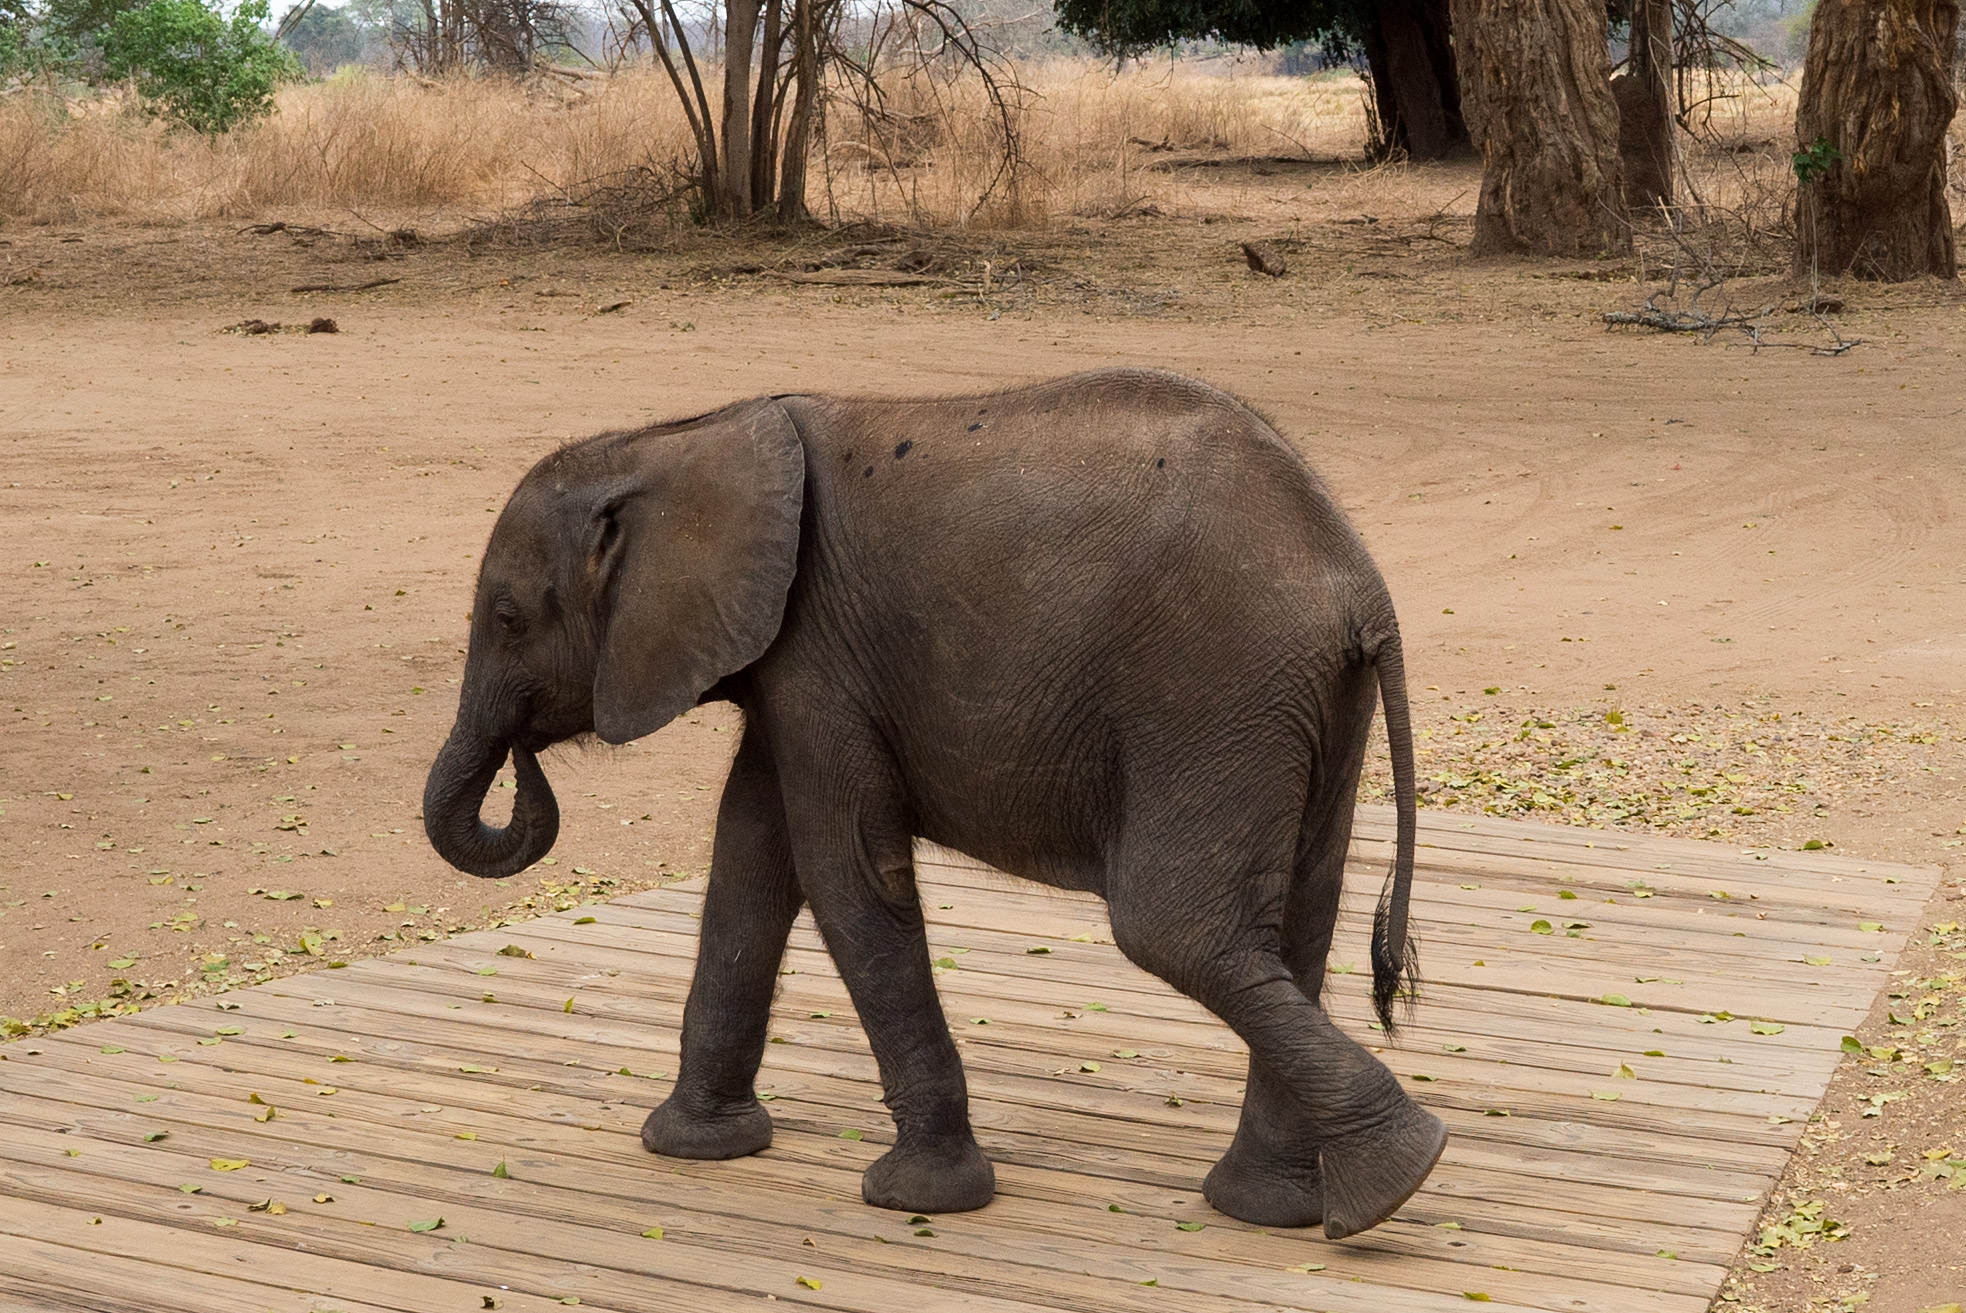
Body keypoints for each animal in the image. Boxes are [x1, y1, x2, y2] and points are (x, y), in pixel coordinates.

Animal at [426, 367, 1446, 1242]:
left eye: (509, 618)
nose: (525, 762)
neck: (674, 439)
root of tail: (1362, 588)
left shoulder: (818, 650)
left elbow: (846, 874)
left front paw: (918, 1197)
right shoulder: (791, 663)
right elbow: (750, 861)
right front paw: (692, 1147)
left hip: (1215, 689)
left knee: (1177, 929)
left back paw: (1397, 1176)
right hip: (1305, 702)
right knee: (1296, 923)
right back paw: (1288, 1206)